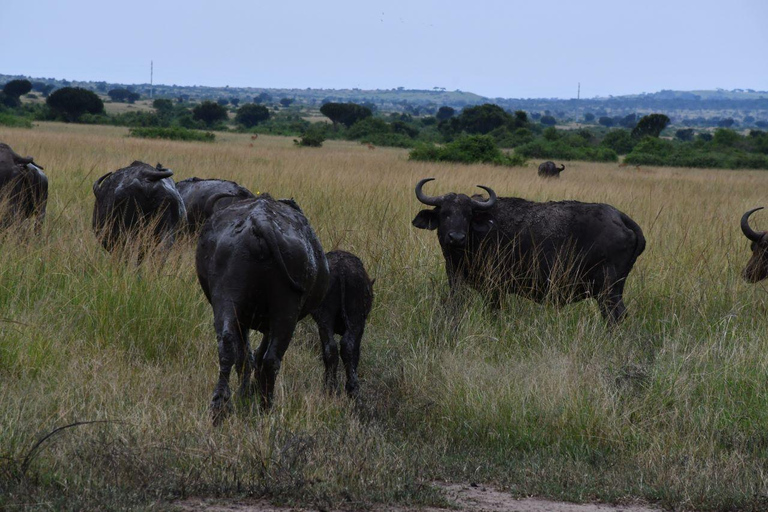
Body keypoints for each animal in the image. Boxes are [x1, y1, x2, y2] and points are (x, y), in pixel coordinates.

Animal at [196, 194, 328, 422]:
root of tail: (261, 220)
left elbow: (246, 356)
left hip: (228, 298)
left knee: (228, 345)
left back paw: (221, 406)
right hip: (286, 310)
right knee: (270, 359)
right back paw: (266, 407)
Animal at [310, 250, 374, 398]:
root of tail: (342, 270)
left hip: (325, 319)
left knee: (331, 349)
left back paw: (330, 387)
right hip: (354, 320)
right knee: (347, 346)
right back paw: (351, 389)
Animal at [412, 178, 644, 324]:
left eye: (468, 214)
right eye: (444, 213)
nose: (456, 237)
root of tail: (619, 217)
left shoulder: (494, 288)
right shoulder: (456, 280)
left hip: (608, 290)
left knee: (615, 316)